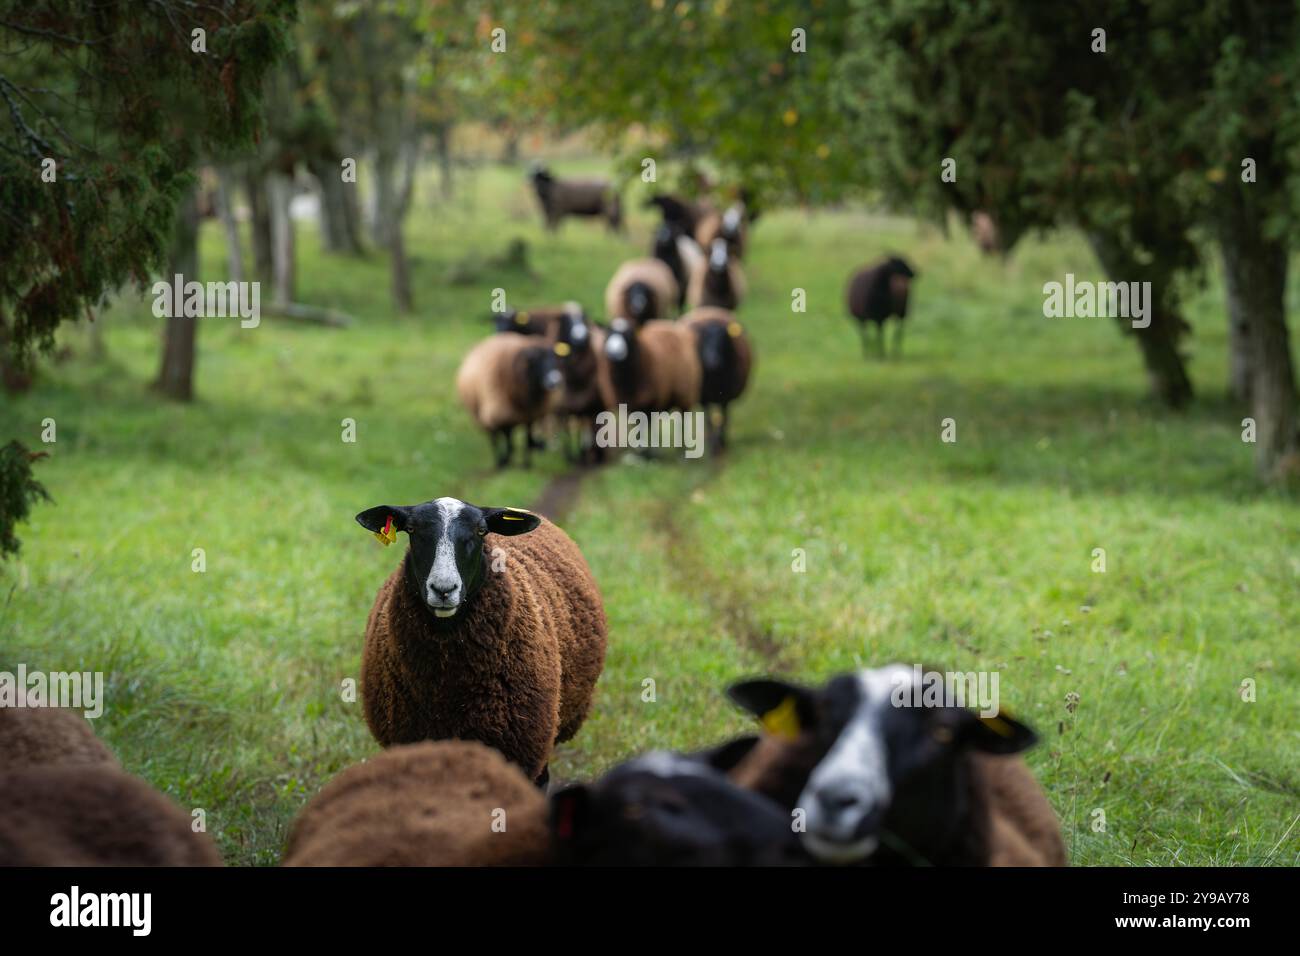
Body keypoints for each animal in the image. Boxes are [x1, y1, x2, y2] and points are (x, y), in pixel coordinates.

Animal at [456, 333, 564, 468]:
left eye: (555, 359)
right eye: (536, 360)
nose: (555, 381)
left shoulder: (530, 416)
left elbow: (527, 442)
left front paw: (526, 464)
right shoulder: (502, 416)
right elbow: (509, 443)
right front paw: (506, 461)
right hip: (489, 417)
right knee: (495, 439)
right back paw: (499, 461)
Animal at [682, 307, 753, 452]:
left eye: (723, 339)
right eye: (704, 339)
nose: (714, 361)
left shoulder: (726, 396)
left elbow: (724, 418)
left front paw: (721, 441)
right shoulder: (704, 398)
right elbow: (709, 420)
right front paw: (712, 444)